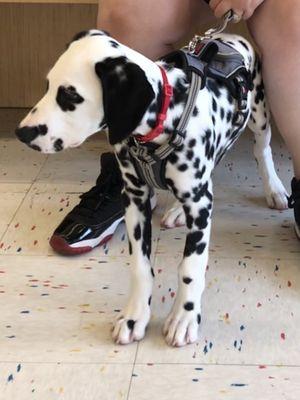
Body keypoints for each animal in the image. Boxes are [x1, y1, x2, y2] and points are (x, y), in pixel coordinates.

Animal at [15, 29, 288, 346]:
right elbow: (140, 266)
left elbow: (191, 267)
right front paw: (134, 316)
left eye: (71, 96)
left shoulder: (200, 205)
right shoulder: (135, 198)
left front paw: (184, 317)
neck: (167, 118)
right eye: (48, 86)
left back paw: (274, 188)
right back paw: (178, 210)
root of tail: (227, 34)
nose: (21, 133)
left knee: (262, 149)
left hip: (259, 113)